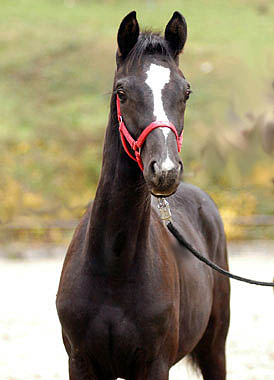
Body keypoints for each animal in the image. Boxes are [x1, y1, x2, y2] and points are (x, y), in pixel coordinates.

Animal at [56, 11, 230, 380]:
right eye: (122, 92)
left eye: (186, 91)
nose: (164, 170)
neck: (113, 265)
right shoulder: (80, 362)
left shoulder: (154, 364)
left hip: (215, 347)